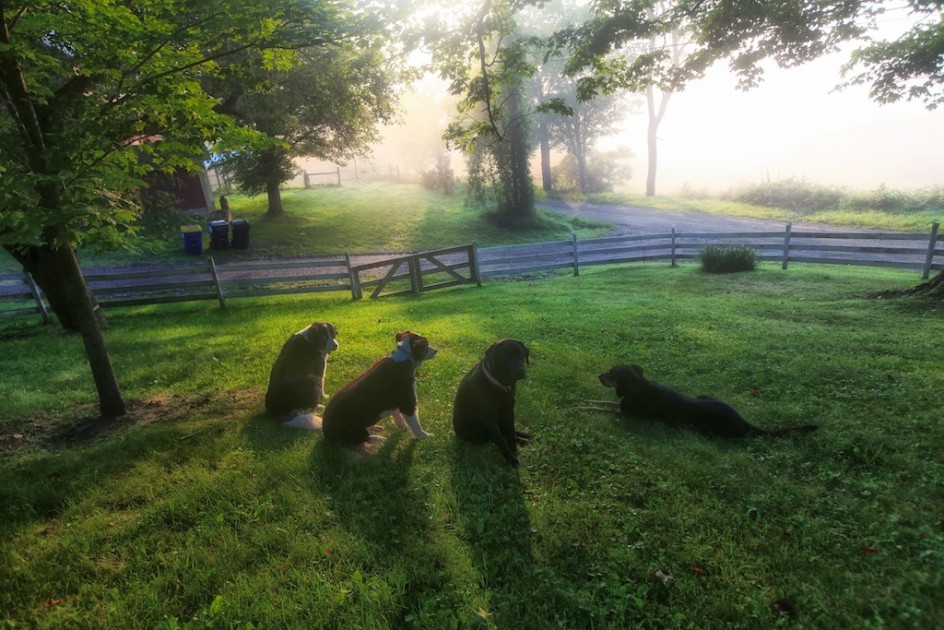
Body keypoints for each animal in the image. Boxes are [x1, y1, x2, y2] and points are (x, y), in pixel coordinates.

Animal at [452, 340, 532, 470]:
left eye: (520, 354)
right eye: (505, 357)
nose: (520, 370)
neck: (501, 386)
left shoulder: (509, 412)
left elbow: (511, 432)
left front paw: (514, 451)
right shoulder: (489, 419)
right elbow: (501, 440)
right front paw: (511, 459)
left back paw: (525, 437)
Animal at [596, 366, 820, 440]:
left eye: (611, 372)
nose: (598, 375)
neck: (636, 385)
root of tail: (742, 421)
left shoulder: (625, 412)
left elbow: (601, 406)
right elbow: (602, 402)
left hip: (706, 429)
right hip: (703, 395)